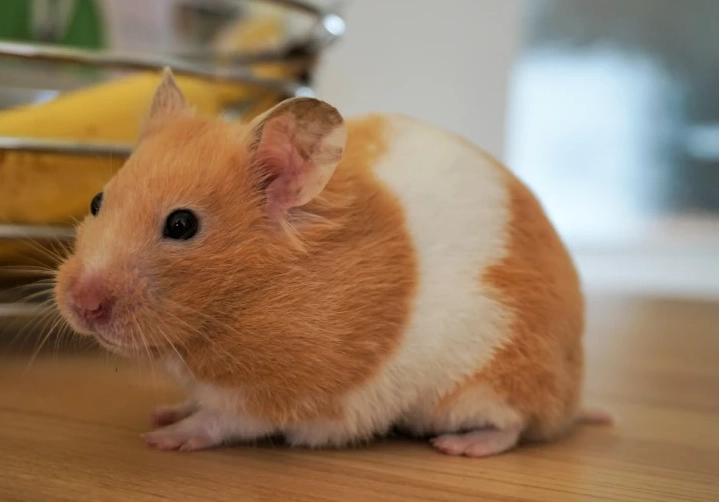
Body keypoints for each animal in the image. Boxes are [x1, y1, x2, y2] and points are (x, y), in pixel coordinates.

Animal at [54, 68, 612, 457]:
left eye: (182, 225)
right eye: (97, 201)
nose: (82, 304)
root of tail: (572, 394)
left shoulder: (281, 393)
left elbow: (223, 419)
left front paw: (164, 439)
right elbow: (195, 402)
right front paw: (162, 413)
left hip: (486, 383)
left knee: (513, 424)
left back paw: (460, 446)